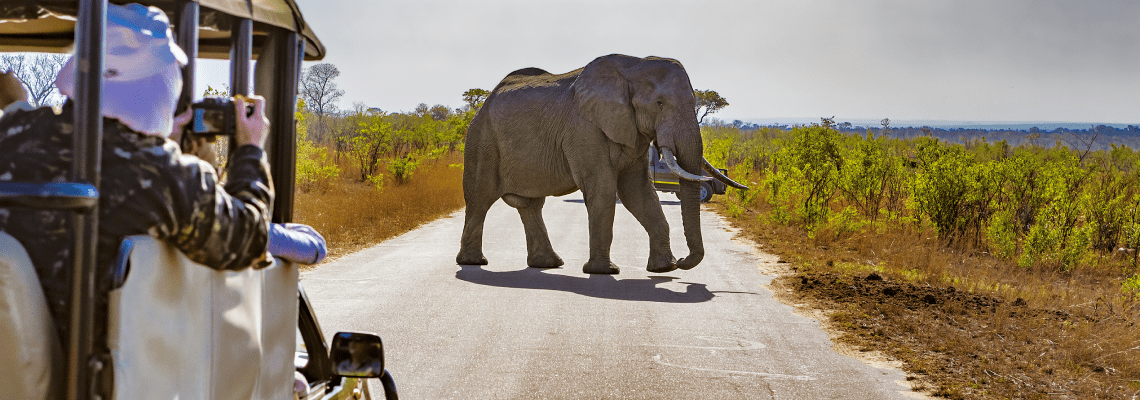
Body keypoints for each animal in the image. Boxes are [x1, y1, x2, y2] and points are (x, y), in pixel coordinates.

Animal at [453, 54, 747, 275]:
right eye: (660, 103)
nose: (686, 262)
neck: (633, 67)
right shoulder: (584, 129)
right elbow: (603, 189)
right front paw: (605, 271)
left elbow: (638, 192)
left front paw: (665, 268)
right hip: (482, 141)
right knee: (480, 199)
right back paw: (473, 263)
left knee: (530, 205)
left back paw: (549, 264)